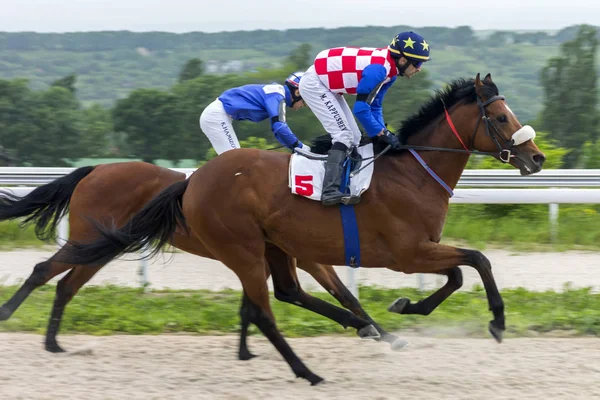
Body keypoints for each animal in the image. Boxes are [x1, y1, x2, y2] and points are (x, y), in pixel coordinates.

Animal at [2, 161, 400, 354]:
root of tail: (95, 169)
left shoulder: (276, 256)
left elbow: (343, 295)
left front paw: (381, 332)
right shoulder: (294, 256)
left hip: (101, 247)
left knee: (66, 285)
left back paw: (54, 342)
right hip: (89, 238)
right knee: (43, 270)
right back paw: (12, 317)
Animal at [55, 74, 544, 384]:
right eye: (501, 117)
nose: (536, 157)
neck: (411, 173)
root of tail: (192, 182)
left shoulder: (416, 250)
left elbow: (460, 272)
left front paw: (404, 309)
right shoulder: (407, 254)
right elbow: (476, 261)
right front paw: (495, 321)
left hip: (271, 246)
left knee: (285, 294)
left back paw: (350, 331)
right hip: (243, 248)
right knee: (266, 310)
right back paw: (309, 370)